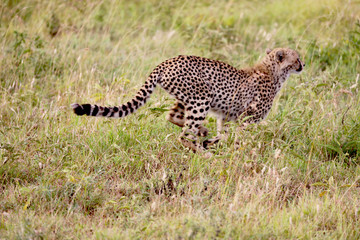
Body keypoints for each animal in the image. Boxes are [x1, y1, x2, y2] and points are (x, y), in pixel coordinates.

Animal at [71, 47, 306, 155]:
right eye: (297, 58)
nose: (303, 65)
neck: (272, 71)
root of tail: (166, 62)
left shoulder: (227, 117)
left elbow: (224, 134)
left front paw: (214, 142)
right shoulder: (246, 118)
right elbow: (237, 137)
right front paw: (233, 151)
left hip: (188, 98)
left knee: (173, 116)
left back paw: (202, 134)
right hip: (201, 98)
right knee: (183, 134)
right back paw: (202, 152)